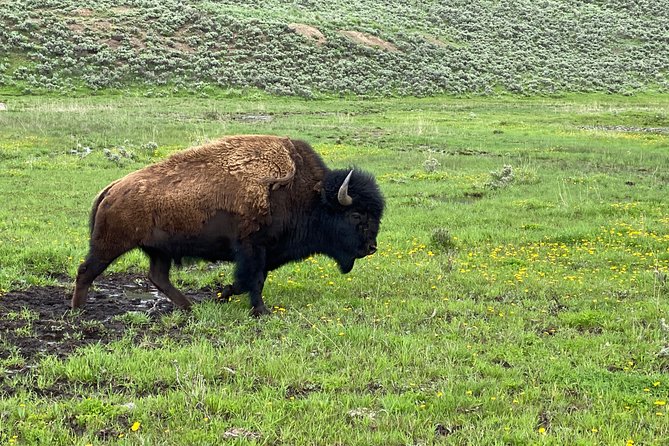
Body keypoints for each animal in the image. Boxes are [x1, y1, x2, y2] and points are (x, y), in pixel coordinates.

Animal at [70, 134, 384, 316]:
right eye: (356, 215)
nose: (371, 247)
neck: (310, 195)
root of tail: (111, 189)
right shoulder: (252, 247)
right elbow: (253, 279)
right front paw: (260, 311)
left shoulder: (265, 252)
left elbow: (250, 280)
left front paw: (223, 295)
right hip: (110, 245)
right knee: (86, 271)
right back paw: (78, 311)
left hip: (159, 251)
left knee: (158, 277)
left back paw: (190, 307)